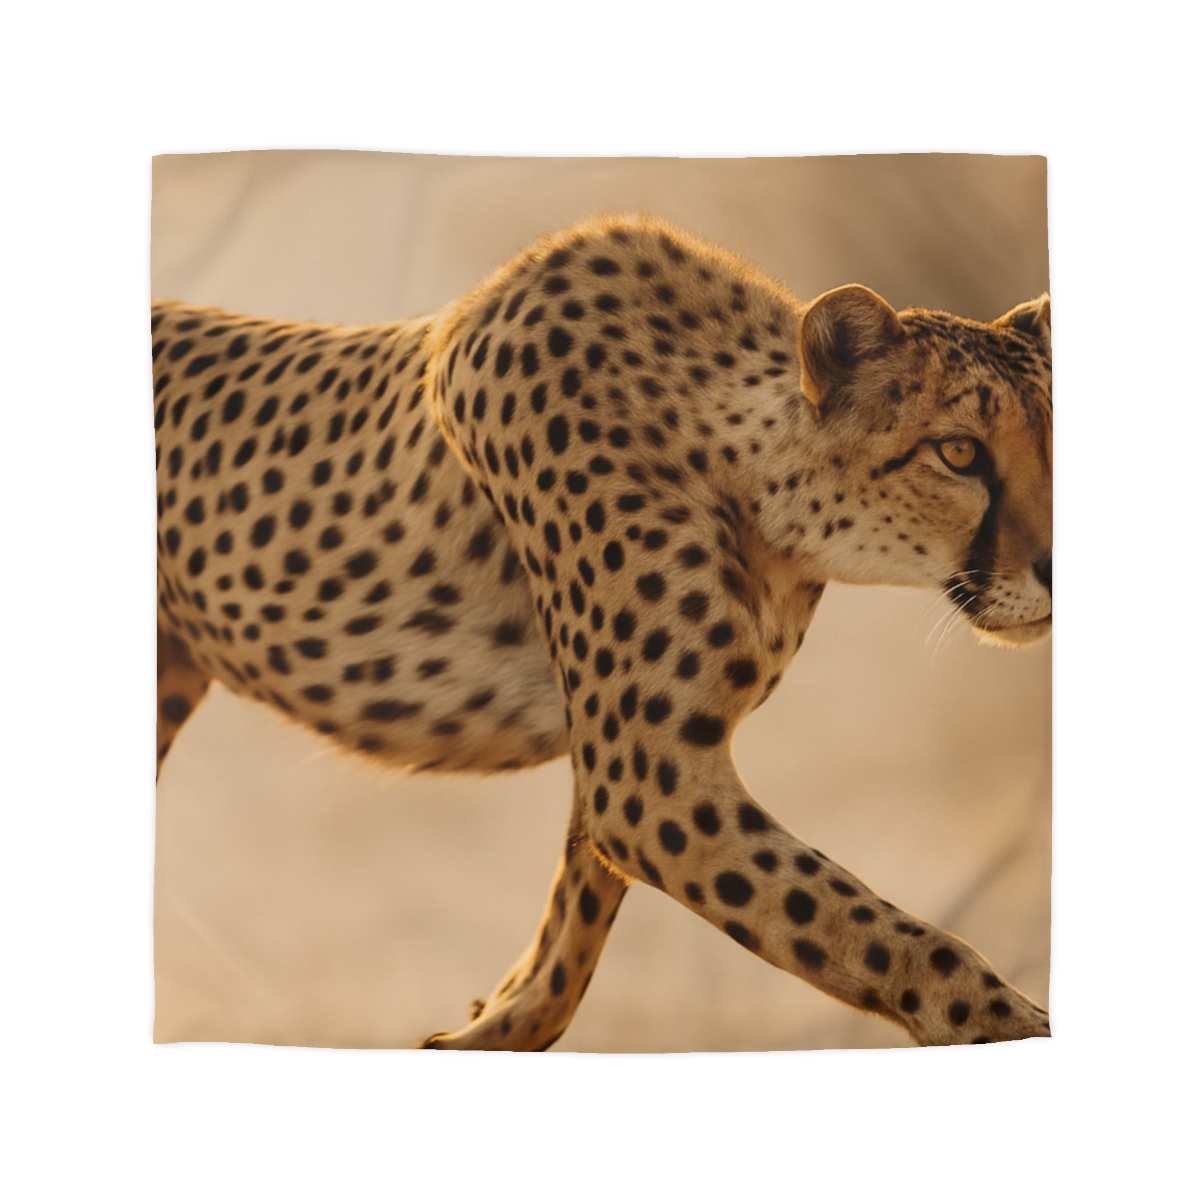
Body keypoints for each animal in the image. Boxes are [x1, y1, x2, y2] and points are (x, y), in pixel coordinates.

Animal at [154, 212, 1052, 1051]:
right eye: (960, 453)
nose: (1056, 565)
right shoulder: (649, 775)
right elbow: (885, 935)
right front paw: (1008, 1025)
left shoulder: (636, 757)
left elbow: (575, 919)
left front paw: (493, 1026)